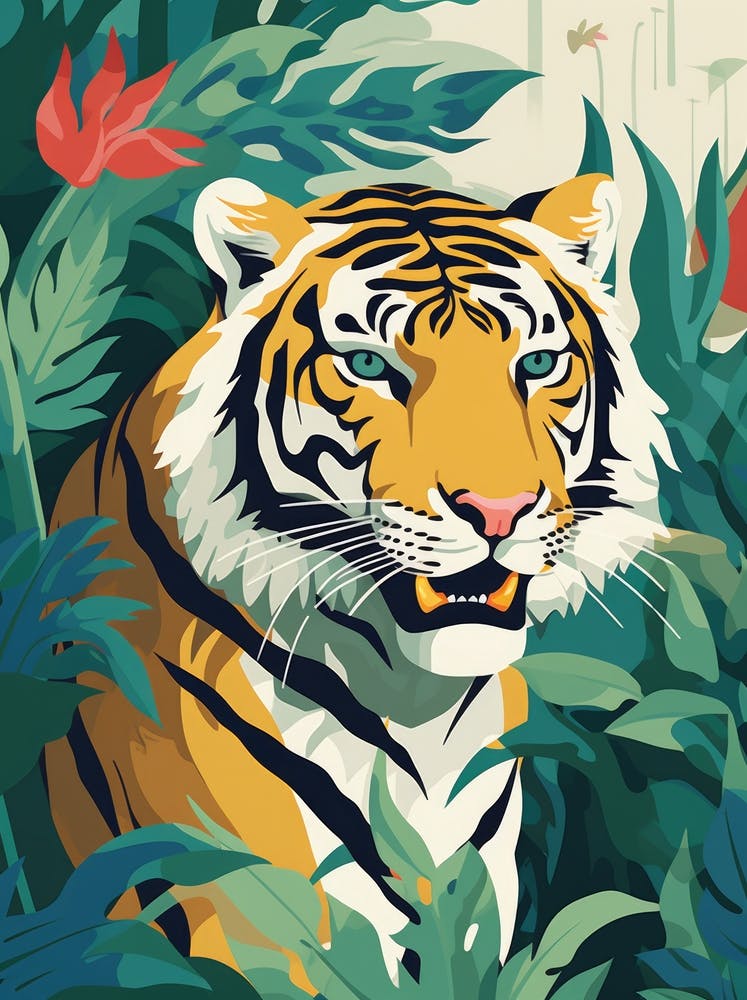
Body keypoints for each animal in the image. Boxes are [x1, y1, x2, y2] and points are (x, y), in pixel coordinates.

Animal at [46, 173, 671, 990]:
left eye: (536, 366)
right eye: (370, 368)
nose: (499, 511)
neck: (416, 698)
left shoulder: (474, 898)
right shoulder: (247, 907)